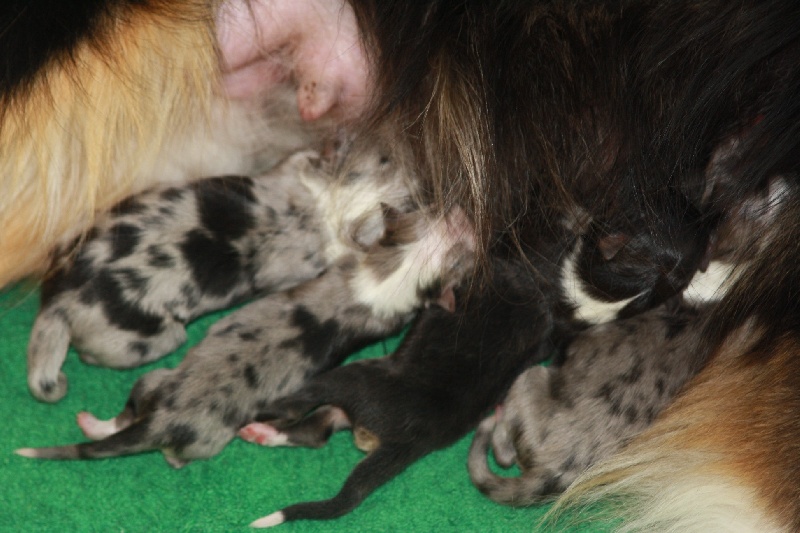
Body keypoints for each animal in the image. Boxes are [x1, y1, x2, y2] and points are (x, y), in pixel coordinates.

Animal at [15, 204, 476, 466]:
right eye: (436, 216)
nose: (465, 214)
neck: (395, 270)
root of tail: (162, 422)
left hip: (159, 386)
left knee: (134, 420)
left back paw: (94, 424)